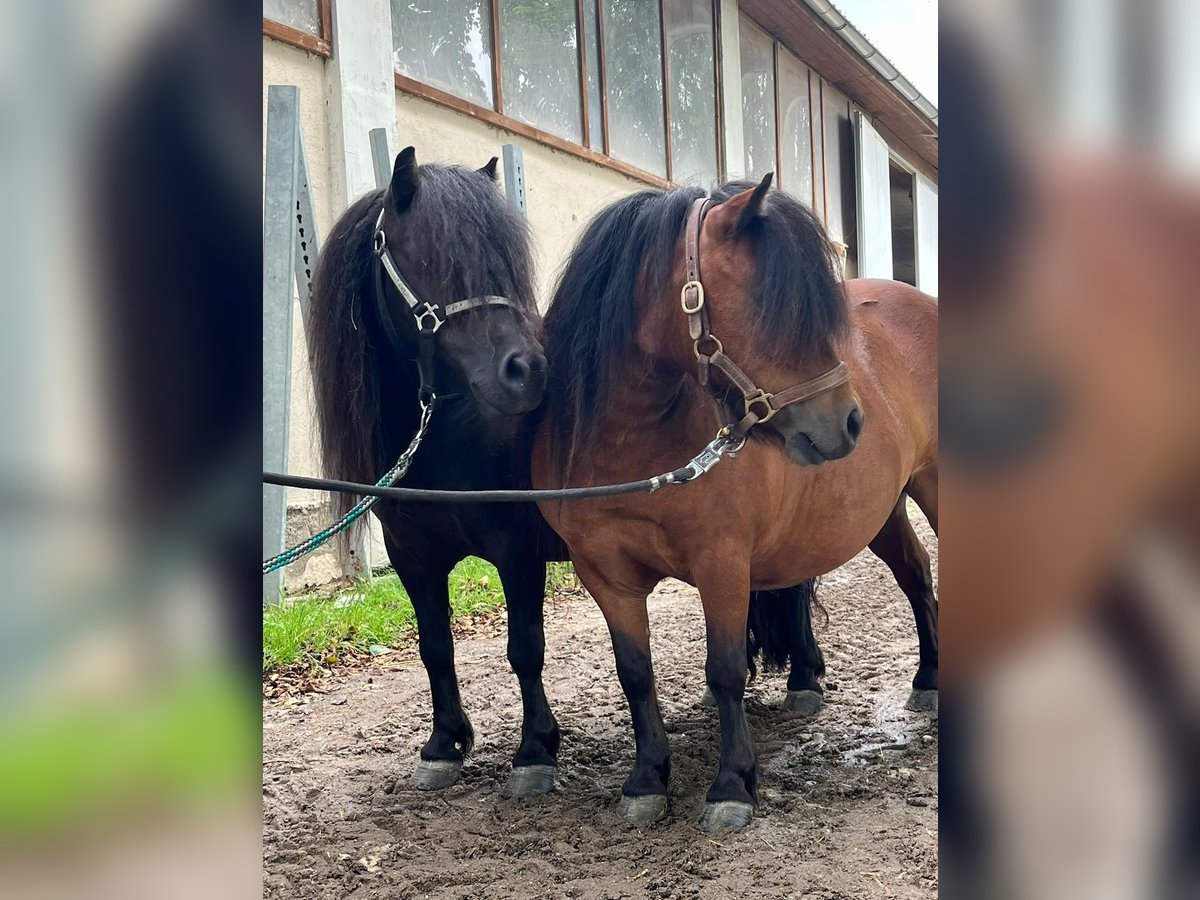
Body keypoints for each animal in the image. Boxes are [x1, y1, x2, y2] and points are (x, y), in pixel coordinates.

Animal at [304, 148, 556, 796]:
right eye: (435, 258)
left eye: (504, 261)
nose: (528, 372)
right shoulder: (412, 557)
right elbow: (435, 646)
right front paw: (445, 744)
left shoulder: (518, 549)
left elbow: (525, 647)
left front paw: (535, 751)